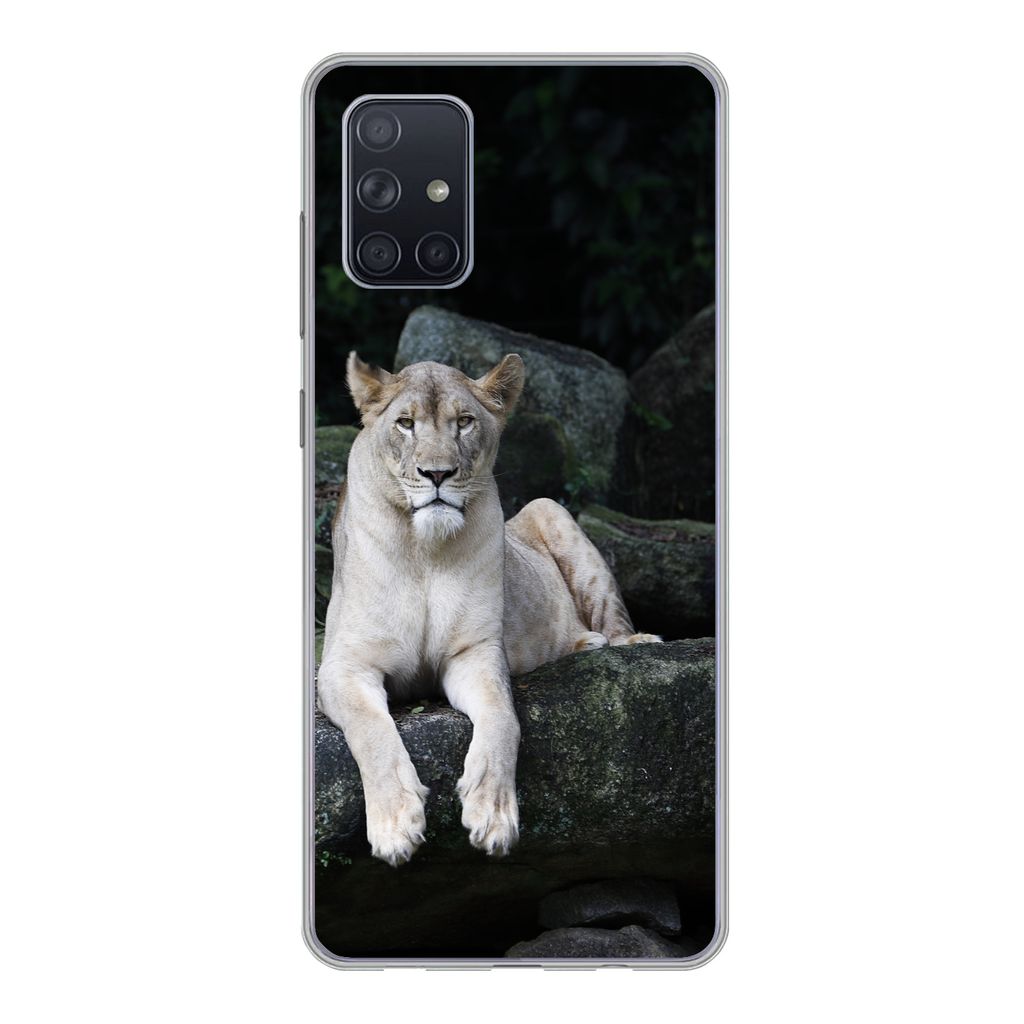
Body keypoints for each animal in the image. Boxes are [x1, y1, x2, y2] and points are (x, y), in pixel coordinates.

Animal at [317, 351, 661, 867]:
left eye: (464, 422)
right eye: (405, 423)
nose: (437, 474)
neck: (425, 552)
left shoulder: (474, 654)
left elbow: (503, 719)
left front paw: (493, 815)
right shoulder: (343, 666)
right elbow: (372, 729)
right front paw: (396, 825)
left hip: (550, 509)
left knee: (612, 618)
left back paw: (619, 641)